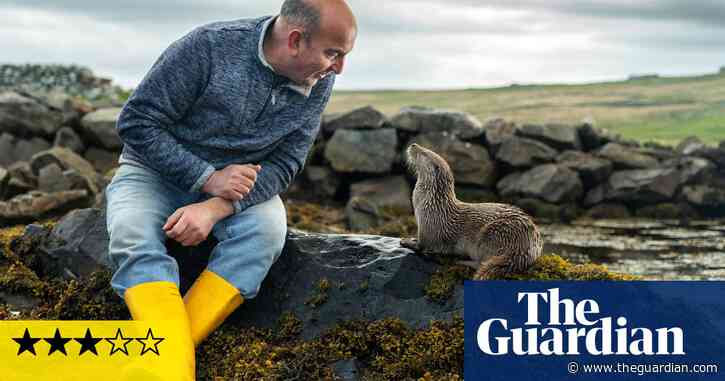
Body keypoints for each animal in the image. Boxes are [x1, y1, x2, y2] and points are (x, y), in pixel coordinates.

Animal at [404, 142, 540, 280]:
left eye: (424, 153)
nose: (413, 144)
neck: (432, 204)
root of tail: (524, 248)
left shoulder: (429, 227)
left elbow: (423, 245)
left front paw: (407, 241)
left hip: (492, 234)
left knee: (482, 261)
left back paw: (461, 261)